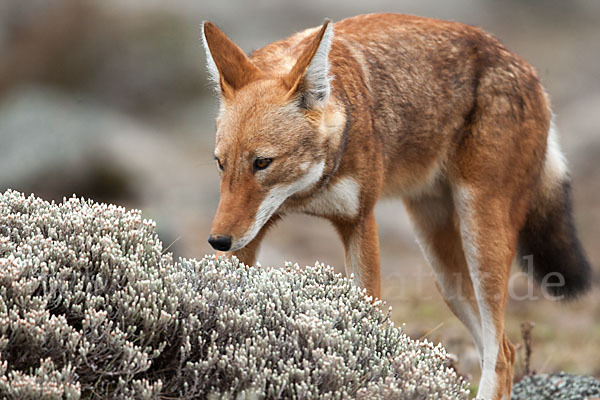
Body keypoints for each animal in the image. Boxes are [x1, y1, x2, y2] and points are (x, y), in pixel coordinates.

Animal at [200, 14, 592, 398]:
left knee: (502, 355)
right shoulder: (251, 233)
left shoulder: (360, 222)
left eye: (262, 163)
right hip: (445, 272)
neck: (307, 192)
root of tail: (524, 66)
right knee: (499, 350)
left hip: (480, 244)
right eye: (220, 164)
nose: (217, 240)